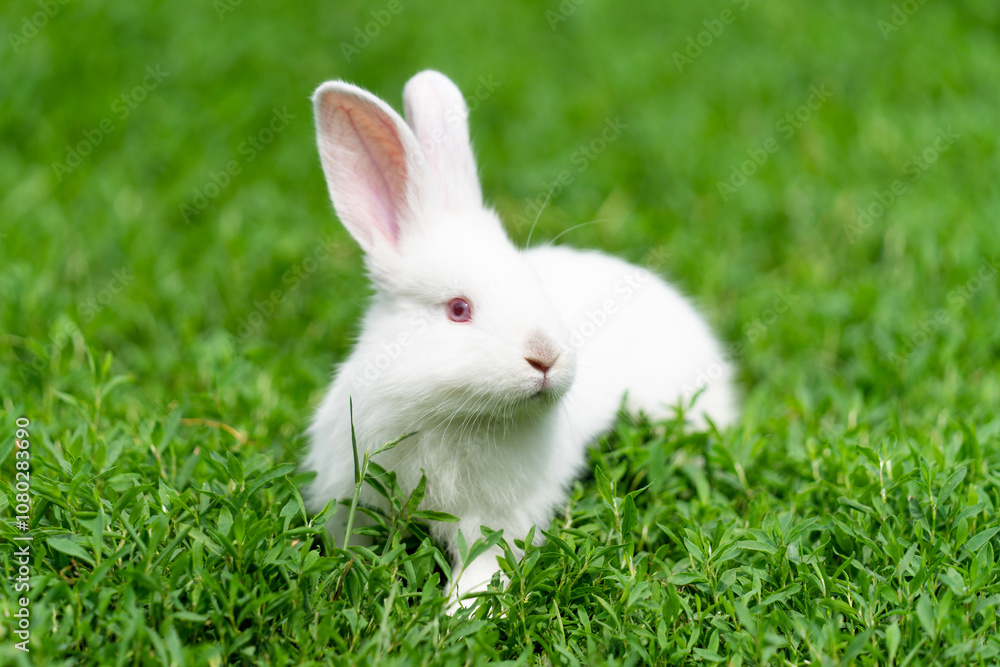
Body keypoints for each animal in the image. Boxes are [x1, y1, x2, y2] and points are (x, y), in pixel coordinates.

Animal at [302, 70, 738, 610]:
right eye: (458, 309)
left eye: (535, 284)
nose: (545, 358)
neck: (452, 417)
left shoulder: (495, 524)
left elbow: (483, 568)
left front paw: (457, 615)